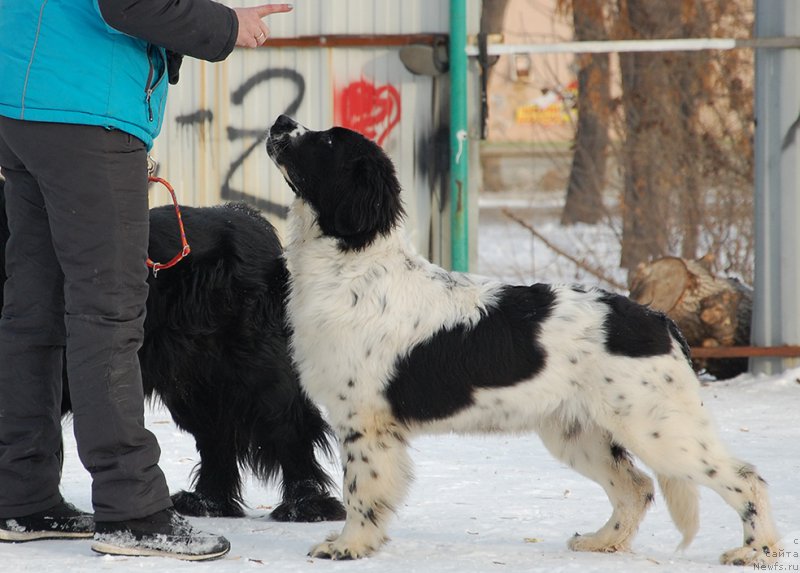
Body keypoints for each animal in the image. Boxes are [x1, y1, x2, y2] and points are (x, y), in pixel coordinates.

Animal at [266, 116, 780, 564]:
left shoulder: (365, 422)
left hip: (659, 430)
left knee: (746, 478)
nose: (280, 121)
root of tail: (659, 319)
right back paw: (601, 542)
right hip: (580, 433)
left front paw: (348, 546)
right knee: (637, 486)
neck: (354, 265)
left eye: (327, 141)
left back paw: (756, 551)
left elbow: (361, 491)